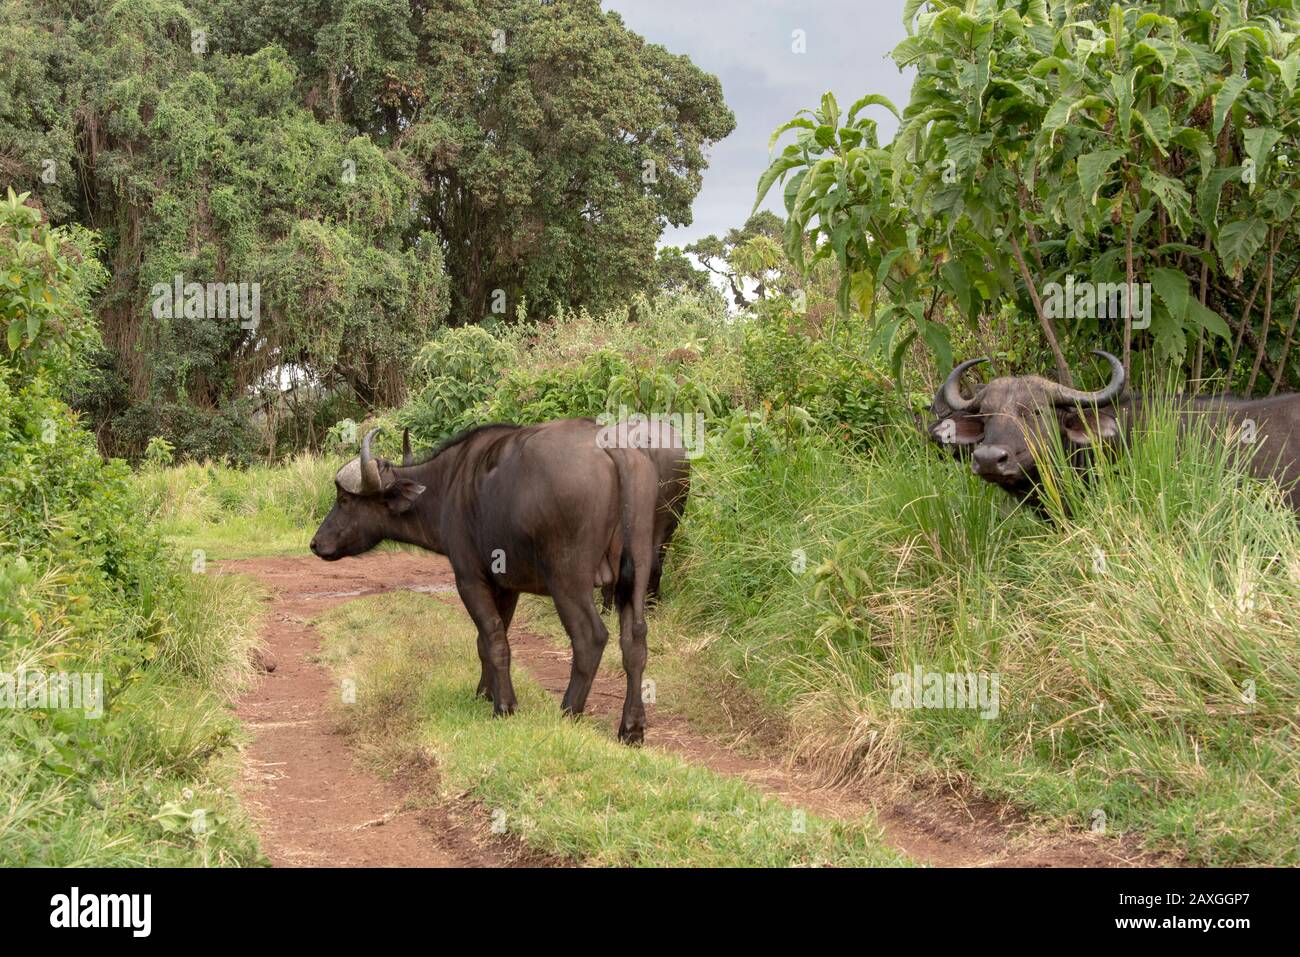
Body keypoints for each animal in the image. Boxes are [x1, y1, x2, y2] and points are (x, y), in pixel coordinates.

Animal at [312, 416, 681, 738]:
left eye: (344, 500)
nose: (317, 543)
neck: (449, 485)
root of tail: (614, 449)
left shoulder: (469, 579)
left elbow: (493, 639)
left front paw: (504, 705)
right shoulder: (507, 587)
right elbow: (488, 640)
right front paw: (484, 692)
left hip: (567, 580)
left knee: (590, 638)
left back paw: (567, 711)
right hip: (641, 567)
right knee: (635, 639)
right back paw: (631, 727)